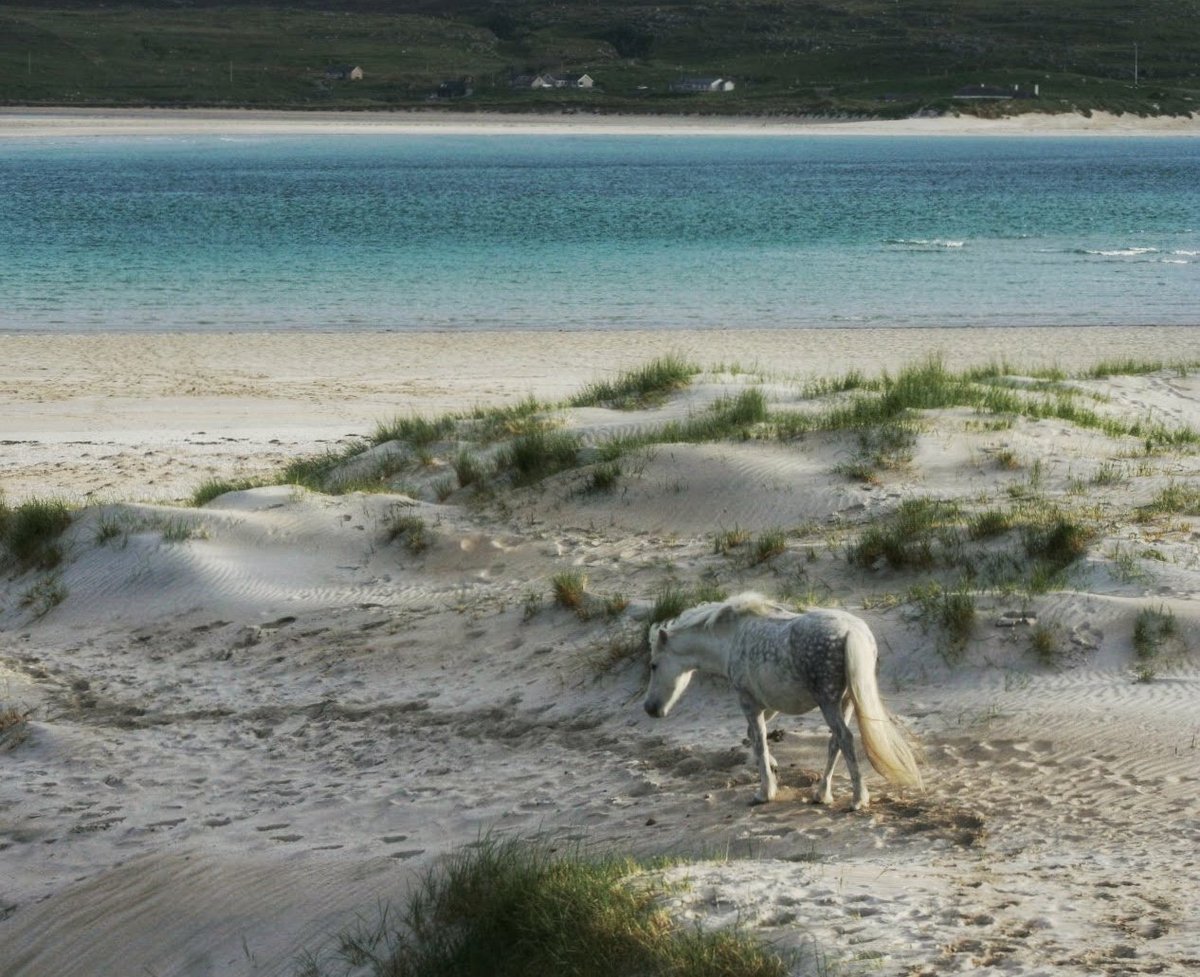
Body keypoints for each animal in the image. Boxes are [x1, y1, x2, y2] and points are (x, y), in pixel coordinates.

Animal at [642, 593, 922, 810]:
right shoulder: (767, 705)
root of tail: (852, 632)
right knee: (835, 742)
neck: (731, 638)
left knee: (844, 738)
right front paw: (774, 772)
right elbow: (755, 737)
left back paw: (858, 799)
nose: (650, 708)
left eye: (653, 665)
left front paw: (764, 792)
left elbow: (759, 741)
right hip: (846, 702)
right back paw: (822, 794)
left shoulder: (749, 702)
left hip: (828, 702)